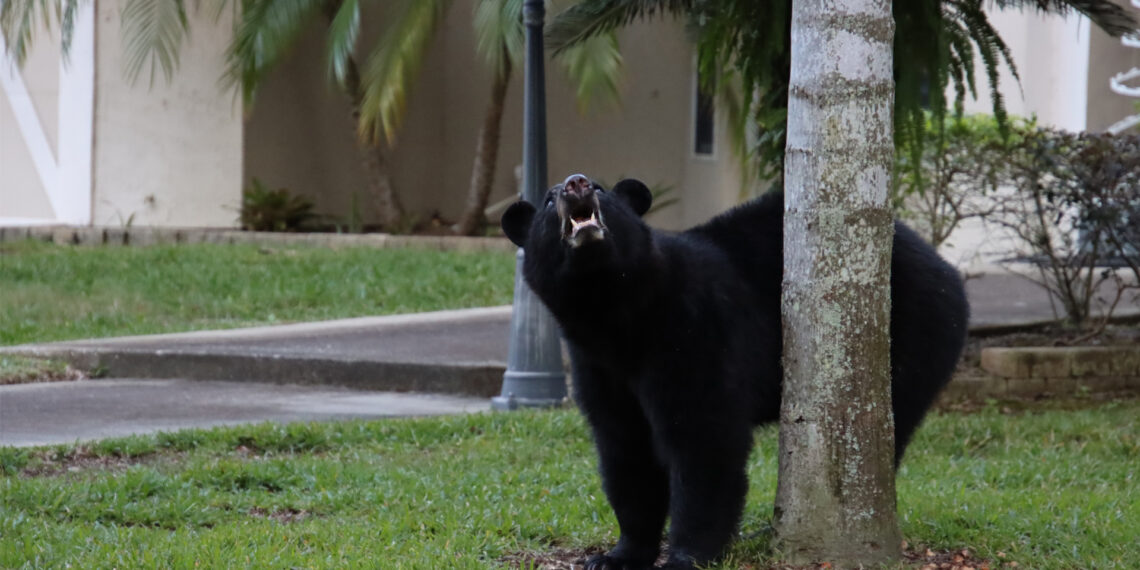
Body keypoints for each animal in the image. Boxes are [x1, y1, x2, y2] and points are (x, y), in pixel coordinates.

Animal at [500, 174, 970, 570]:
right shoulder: (597, 364)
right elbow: (625, 447)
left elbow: (703, 438)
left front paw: (686, 556)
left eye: (600, 189)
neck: (616, 310)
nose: (576, 184)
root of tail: (942, 265)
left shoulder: (693, 327)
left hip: (912, 330)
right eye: (548, 199)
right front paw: (617, 555)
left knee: (891, 418)